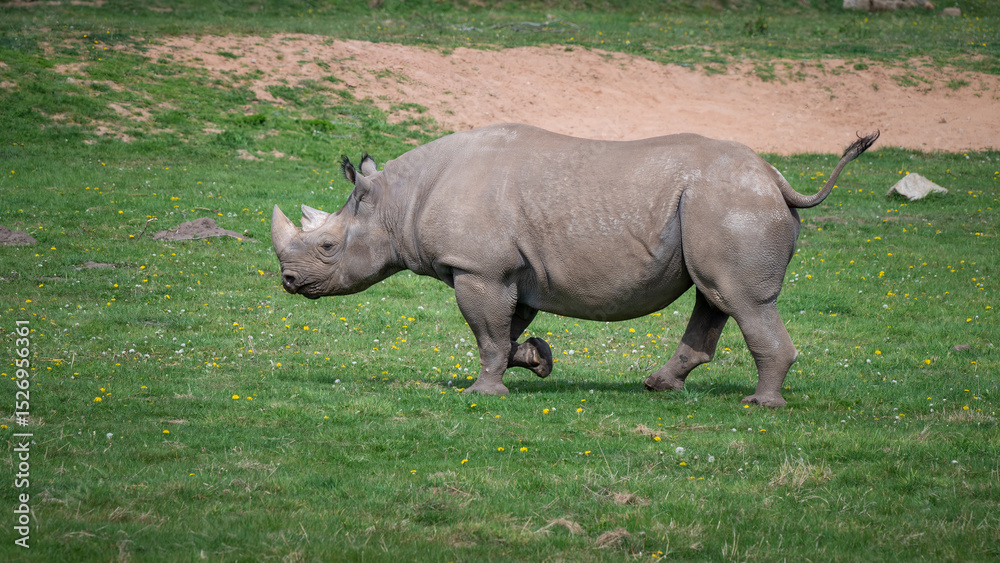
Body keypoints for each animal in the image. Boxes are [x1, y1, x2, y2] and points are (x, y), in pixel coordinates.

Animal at [271, 123, 878, 406]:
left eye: (327, 248)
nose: (288, 281)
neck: (398, 200)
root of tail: (777, 179)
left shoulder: (478, 268)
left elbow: (486, 333)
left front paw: (482, 394)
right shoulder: (507, 270)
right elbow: (505, 330)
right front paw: (538, 359)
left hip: (731, 203)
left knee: (743, 299)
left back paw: (759, 405)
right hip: (723, 202)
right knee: (714, 295)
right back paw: (659, 387)